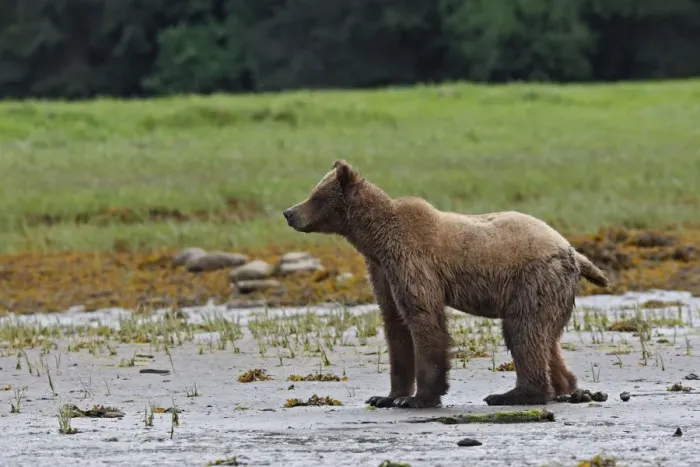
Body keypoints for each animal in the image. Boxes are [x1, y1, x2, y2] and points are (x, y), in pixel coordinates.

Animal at [282, 160, 610, 408]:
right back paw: (565, 388)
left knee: (524, 332)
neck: (375, 241)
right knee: (544, 337)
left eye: (315, 196)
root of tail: (573, 251)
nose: (289, 212)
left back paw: (513, 394)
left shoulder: (412, 263)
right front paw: (386, 397)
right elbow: (395, 326)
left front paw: (418, 398)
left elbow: (424, 320)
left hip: (533, 280)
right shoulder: (382, 272)